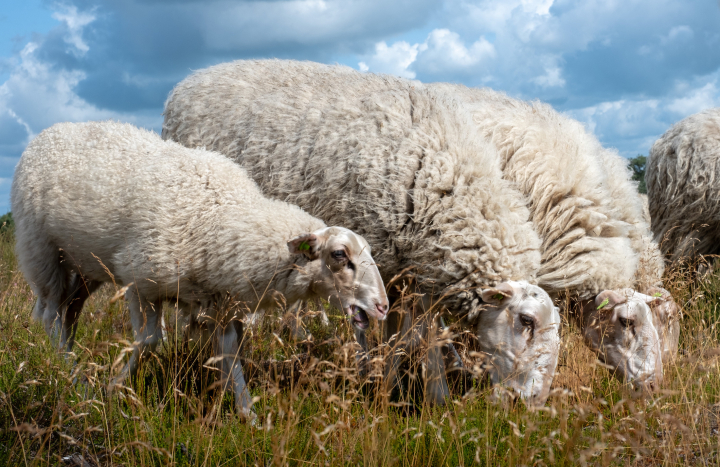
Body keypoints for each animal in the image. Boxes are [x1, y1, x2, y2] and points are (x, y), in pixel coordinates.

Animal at [9, 120, 388, 416]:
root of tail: (48, 133)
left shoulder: (220, 303)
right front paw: (112, 388)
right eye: (339, 255)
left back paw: (72, 360)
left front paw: (248, 414)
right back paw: (74, 377)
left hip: (86, 266)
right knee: (51, 316)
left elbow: (231, 356)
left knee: (69, 312)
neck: (218, 216)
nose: (383, 306)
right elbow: (149, 341)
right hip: (42, 251)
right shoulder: (140, 282)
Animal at [163, 59, 564, 406]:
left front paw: (402, 384)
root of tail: (192, 79)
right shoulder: (379, 264)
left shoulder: (410, 271)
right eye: (526, 321)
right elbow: (406, 332)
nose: (533, 403)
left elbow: (406, 333)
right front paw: (412, 390)